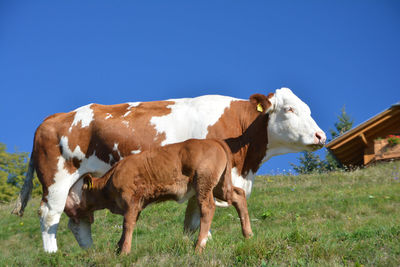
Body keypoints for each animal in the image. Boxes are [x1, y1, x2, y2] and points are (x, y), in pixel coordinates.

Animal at [67, 139, 252, 254]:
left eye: (77, 192)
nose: (68, 210)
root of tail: (213, 141)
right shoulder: (137, 205)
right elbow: (128, 225)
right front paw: (118, 248)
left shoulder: (131, 200)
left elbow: (127, 224)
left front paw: (124, 251)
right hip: (220, 185)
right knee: (238, 195)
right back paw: (248, 234)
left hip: (203, 183)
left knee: (208, 209)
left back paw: (199, 247)